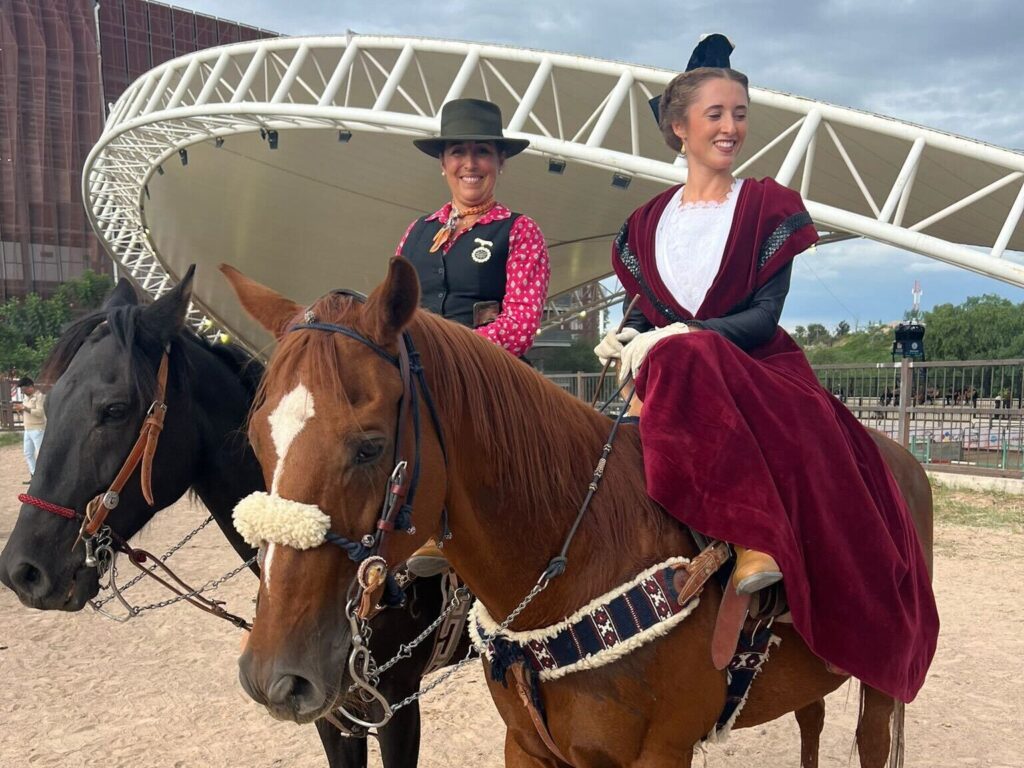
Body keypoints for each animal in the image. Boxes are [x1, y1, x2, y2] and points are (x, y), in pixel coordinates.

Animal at [228, 260, 933, 768]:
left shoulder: (659, 755)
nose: (272, 676)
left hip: (884, 682)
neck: (582, 549)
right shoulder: (527, 747)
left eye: (370, 445)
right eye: (255, 440)